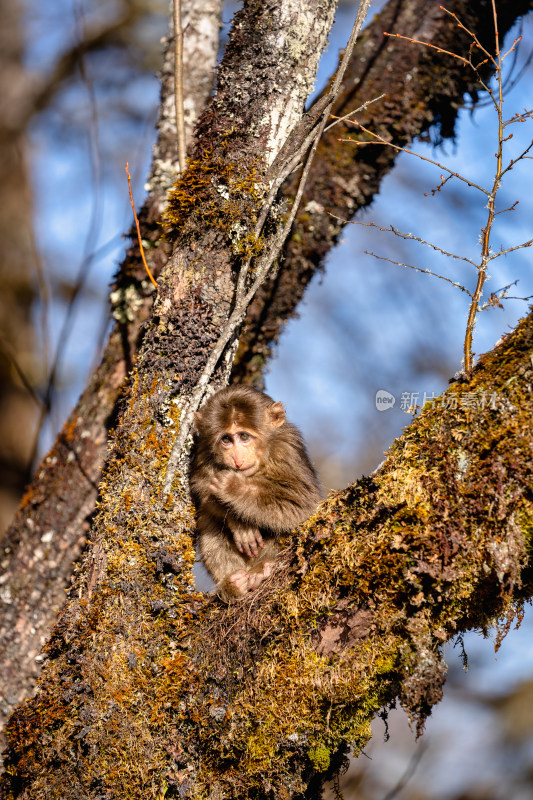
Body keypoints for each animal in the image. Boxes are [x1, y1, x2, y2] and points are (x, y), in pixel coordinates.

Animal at [189, 386, 318, 600]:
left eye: (244, 437)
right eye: (226, 439)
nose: (237, 458)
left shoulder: (285, 450)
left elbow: (300, 505)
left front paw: (233, 488)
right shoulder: (203, 450)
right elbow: (202, 488)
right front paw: (240, 525)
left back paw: (260, 573)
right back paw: (234, 585)